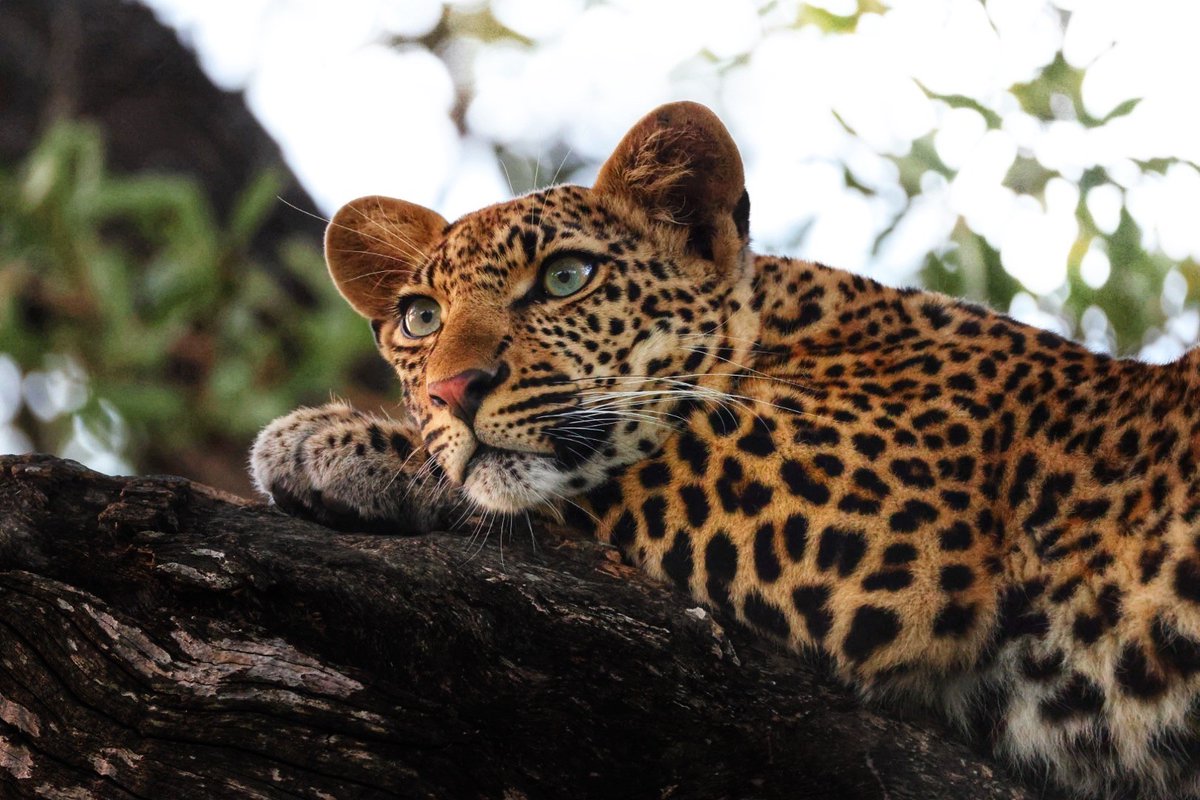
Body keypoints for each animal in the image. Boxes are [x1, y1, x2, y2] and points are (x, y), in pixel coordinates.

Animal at [250, 101, 1200, 798]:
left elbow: (632, 456)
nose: (452, 390)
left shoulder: (868, 518)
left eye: (565, 278)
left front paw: (327, 441)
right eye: (421, 318)